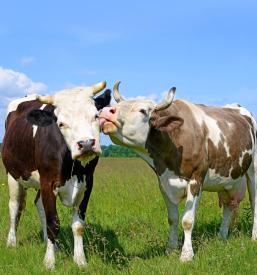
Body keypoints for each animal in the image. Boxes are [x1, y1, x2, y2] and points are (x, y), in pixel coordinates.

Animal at [1, 81, 111, 270]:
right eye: (61, 123)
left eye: (96, 115)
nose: (86, 144)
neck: (73, 166)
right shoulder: (48, 182)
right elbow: (53, 222)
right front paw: (49, 262)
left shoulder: (87, 183)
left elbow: (78, 225)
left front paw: (80, 260)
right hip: (13, 175)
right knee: (14, 206)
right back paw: (12, 242)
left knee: (38, 205)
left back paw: (49, 242)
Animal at [99, 82, 256, 264]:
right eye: (118, 105)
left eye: (143, 111)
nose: (105, 111)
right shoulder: (163, 182)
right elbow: (172, 219)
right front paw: (171, 249)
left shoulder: (196, 179)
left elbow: (187, 220)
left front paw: (186, 254)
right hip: (228, 179)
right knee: (228, 205)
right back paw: (222, 236)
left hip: (253, 170)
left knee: (254, 201)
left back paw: (254, 236)